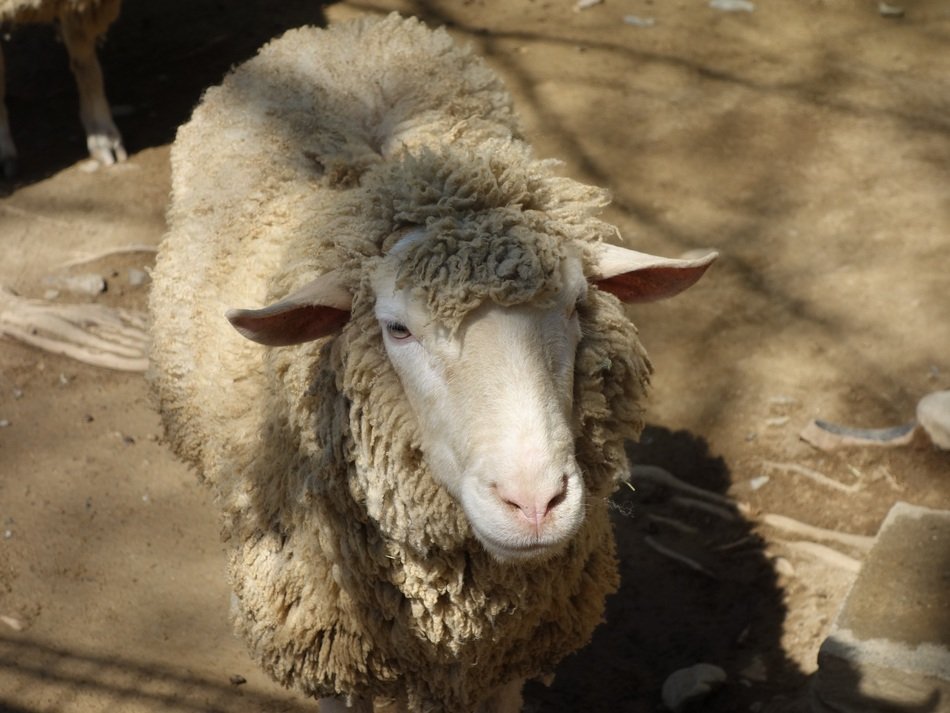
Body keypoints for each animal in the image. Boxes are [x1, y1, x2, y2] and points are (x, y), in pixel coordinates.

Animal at [147, 13, 716, 713]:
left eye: (577, 304)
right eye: (397, 328)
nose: (534, 504)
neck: (448, 615)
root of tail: (352, 32)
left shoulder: (502, 668)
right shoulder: (336, 660)